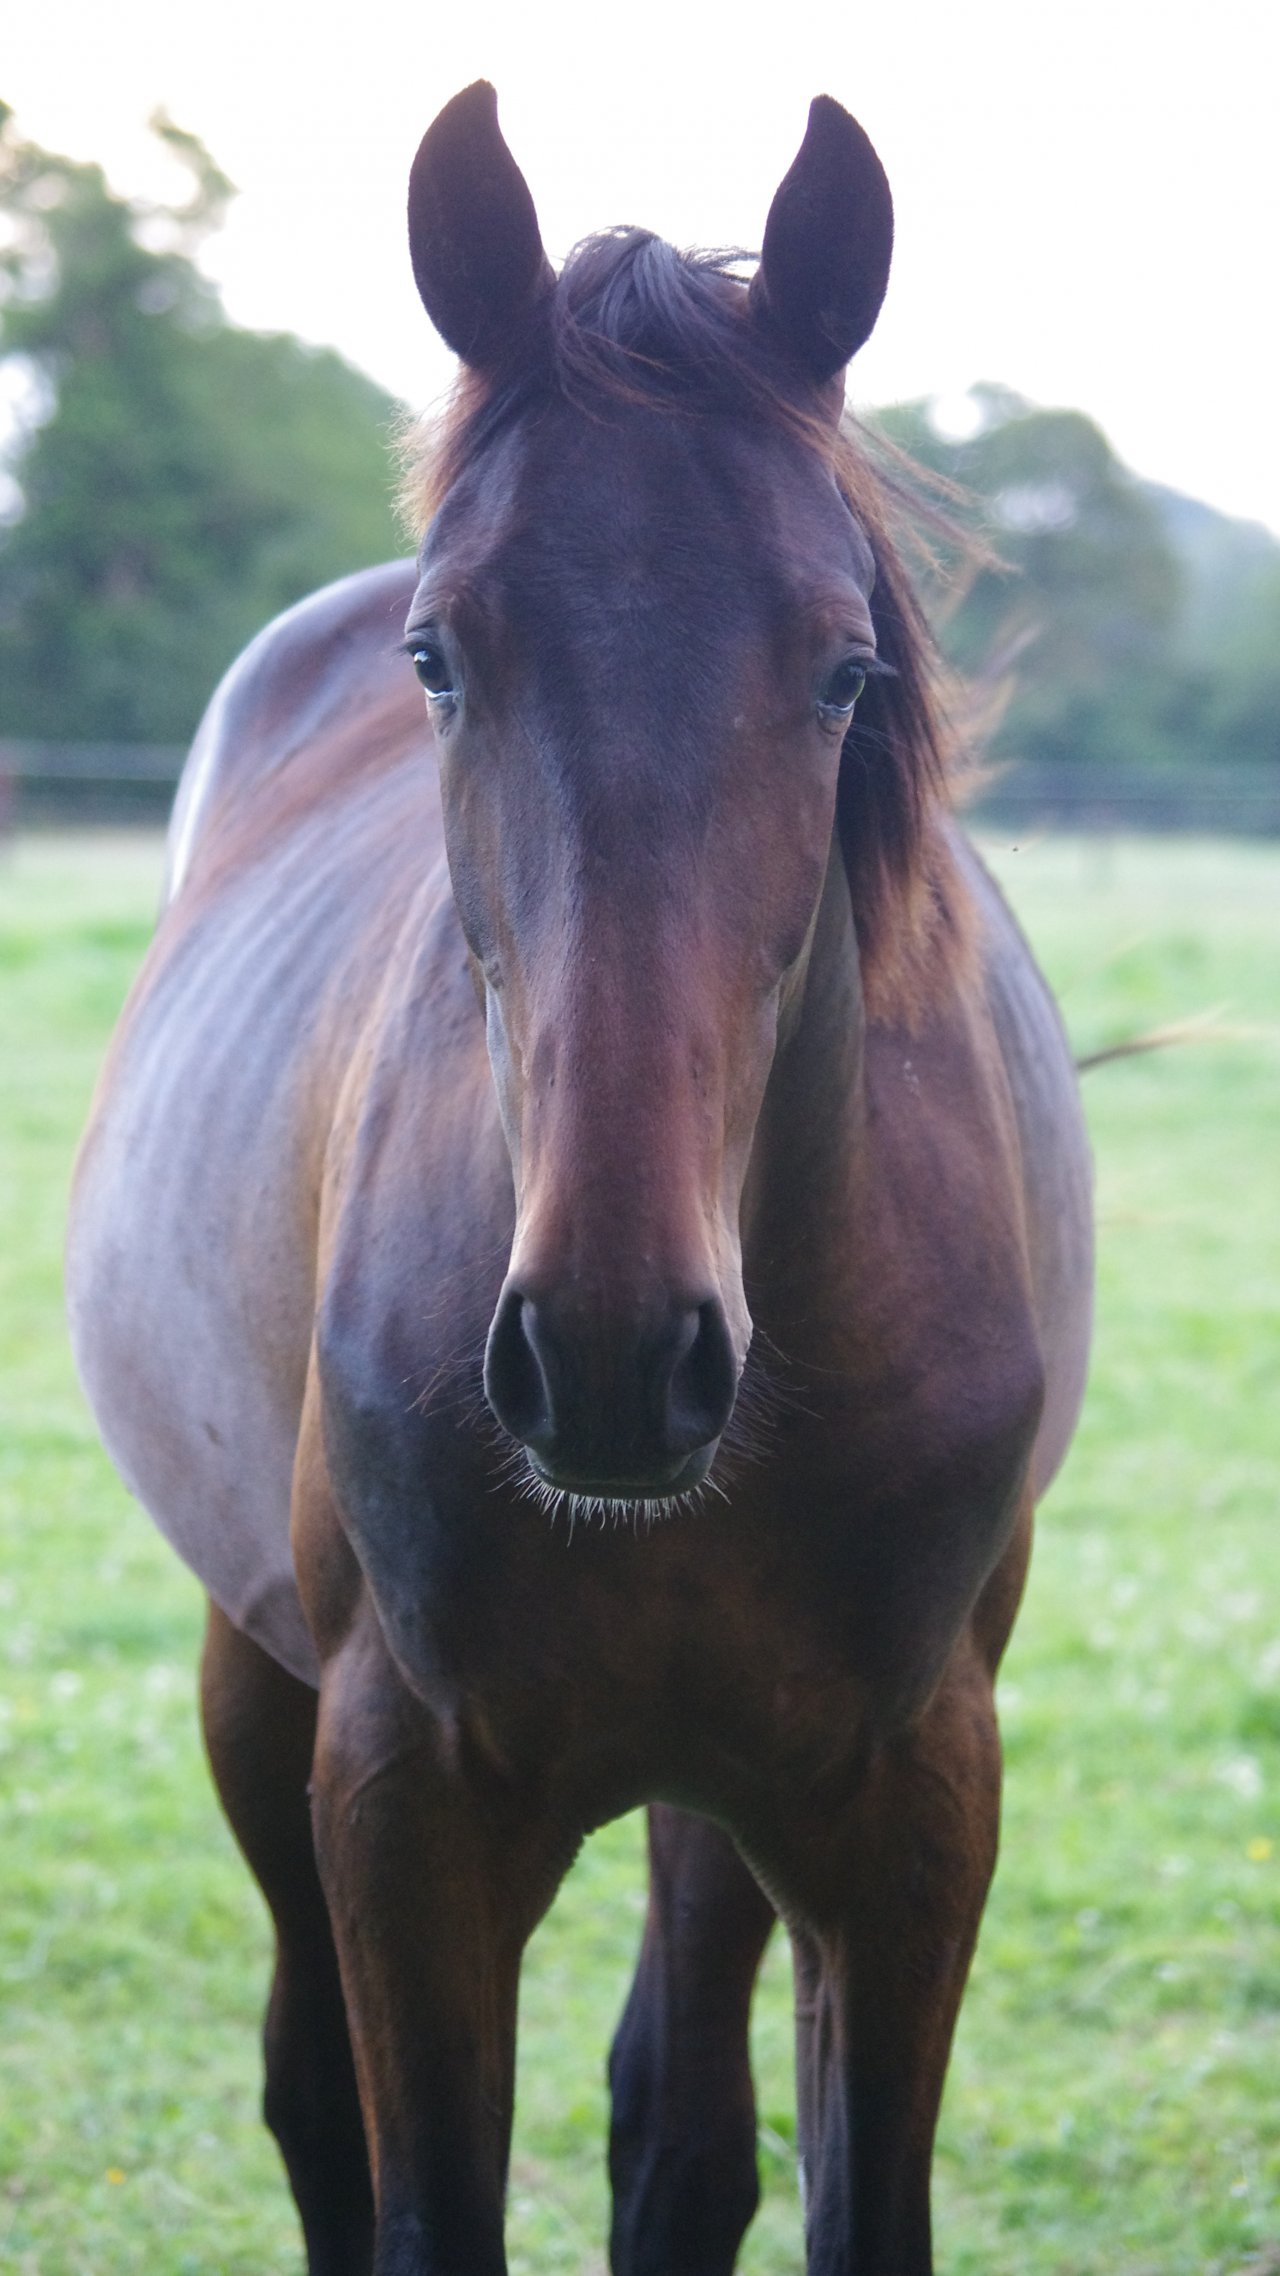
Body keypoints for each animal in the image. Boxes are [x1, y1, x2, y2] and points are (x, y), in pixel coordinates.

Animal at [67, 84, 1084, 2276]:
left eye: (844, 671)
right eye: (442, 658)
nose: (614, 1355)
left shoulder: (908, 1807)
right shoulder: (404, 1797)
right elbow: (411, 2184)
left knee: (679, 2122)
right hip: (253, 1680)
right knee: (314, 2093)